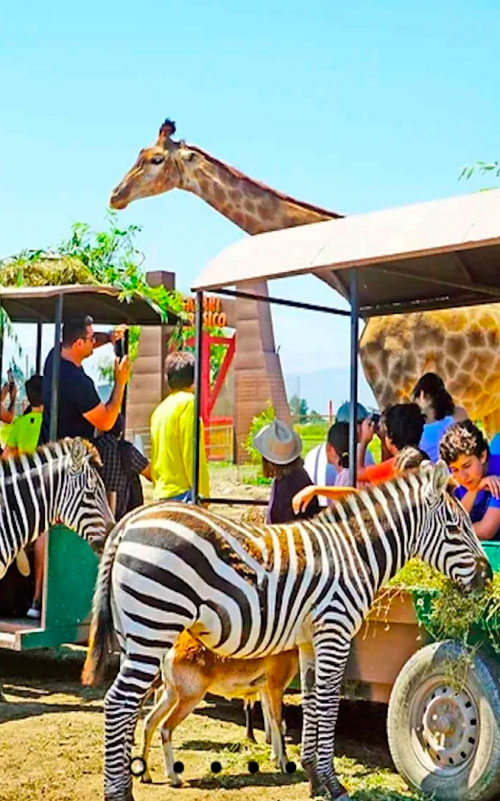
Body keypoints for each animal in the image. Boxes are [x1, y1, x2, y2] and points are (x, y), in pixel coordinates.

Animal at [83, 460, 492, 801]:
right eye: (455, 528)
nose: (488, 577)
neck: (354, 552)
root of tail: (128, 523)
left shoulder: (310, 641)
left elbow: (312, 702)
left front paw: (313, 777)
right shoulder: (335, 630)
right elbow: (327, 705)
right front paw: (334, 784)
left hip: (136, 634)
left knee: (133, 707)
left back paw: (133, 780)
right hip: (154, 623)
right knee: (118, 702)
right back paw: (118, 794)